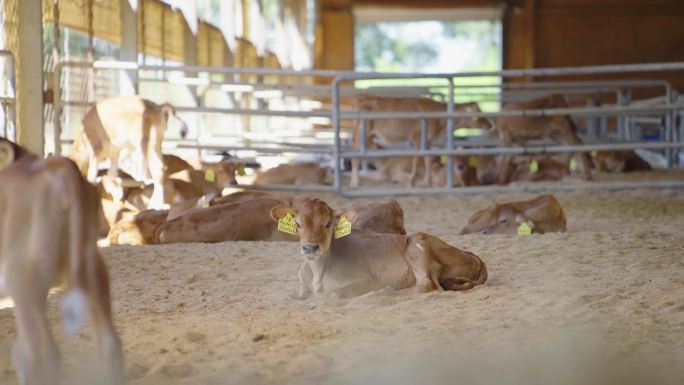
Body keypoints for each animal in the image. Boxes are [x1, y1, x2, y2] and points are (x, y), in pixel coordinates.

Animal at [268, 196, 486, 298]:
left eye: (328, 223)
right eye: (298, 224)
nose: (310, 248)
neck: (319, 273)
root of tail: (475, 256)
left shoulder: (367, 280)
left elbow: (334, 294)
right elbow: (294, 292)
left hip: (417, 244)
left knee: (426, 285)